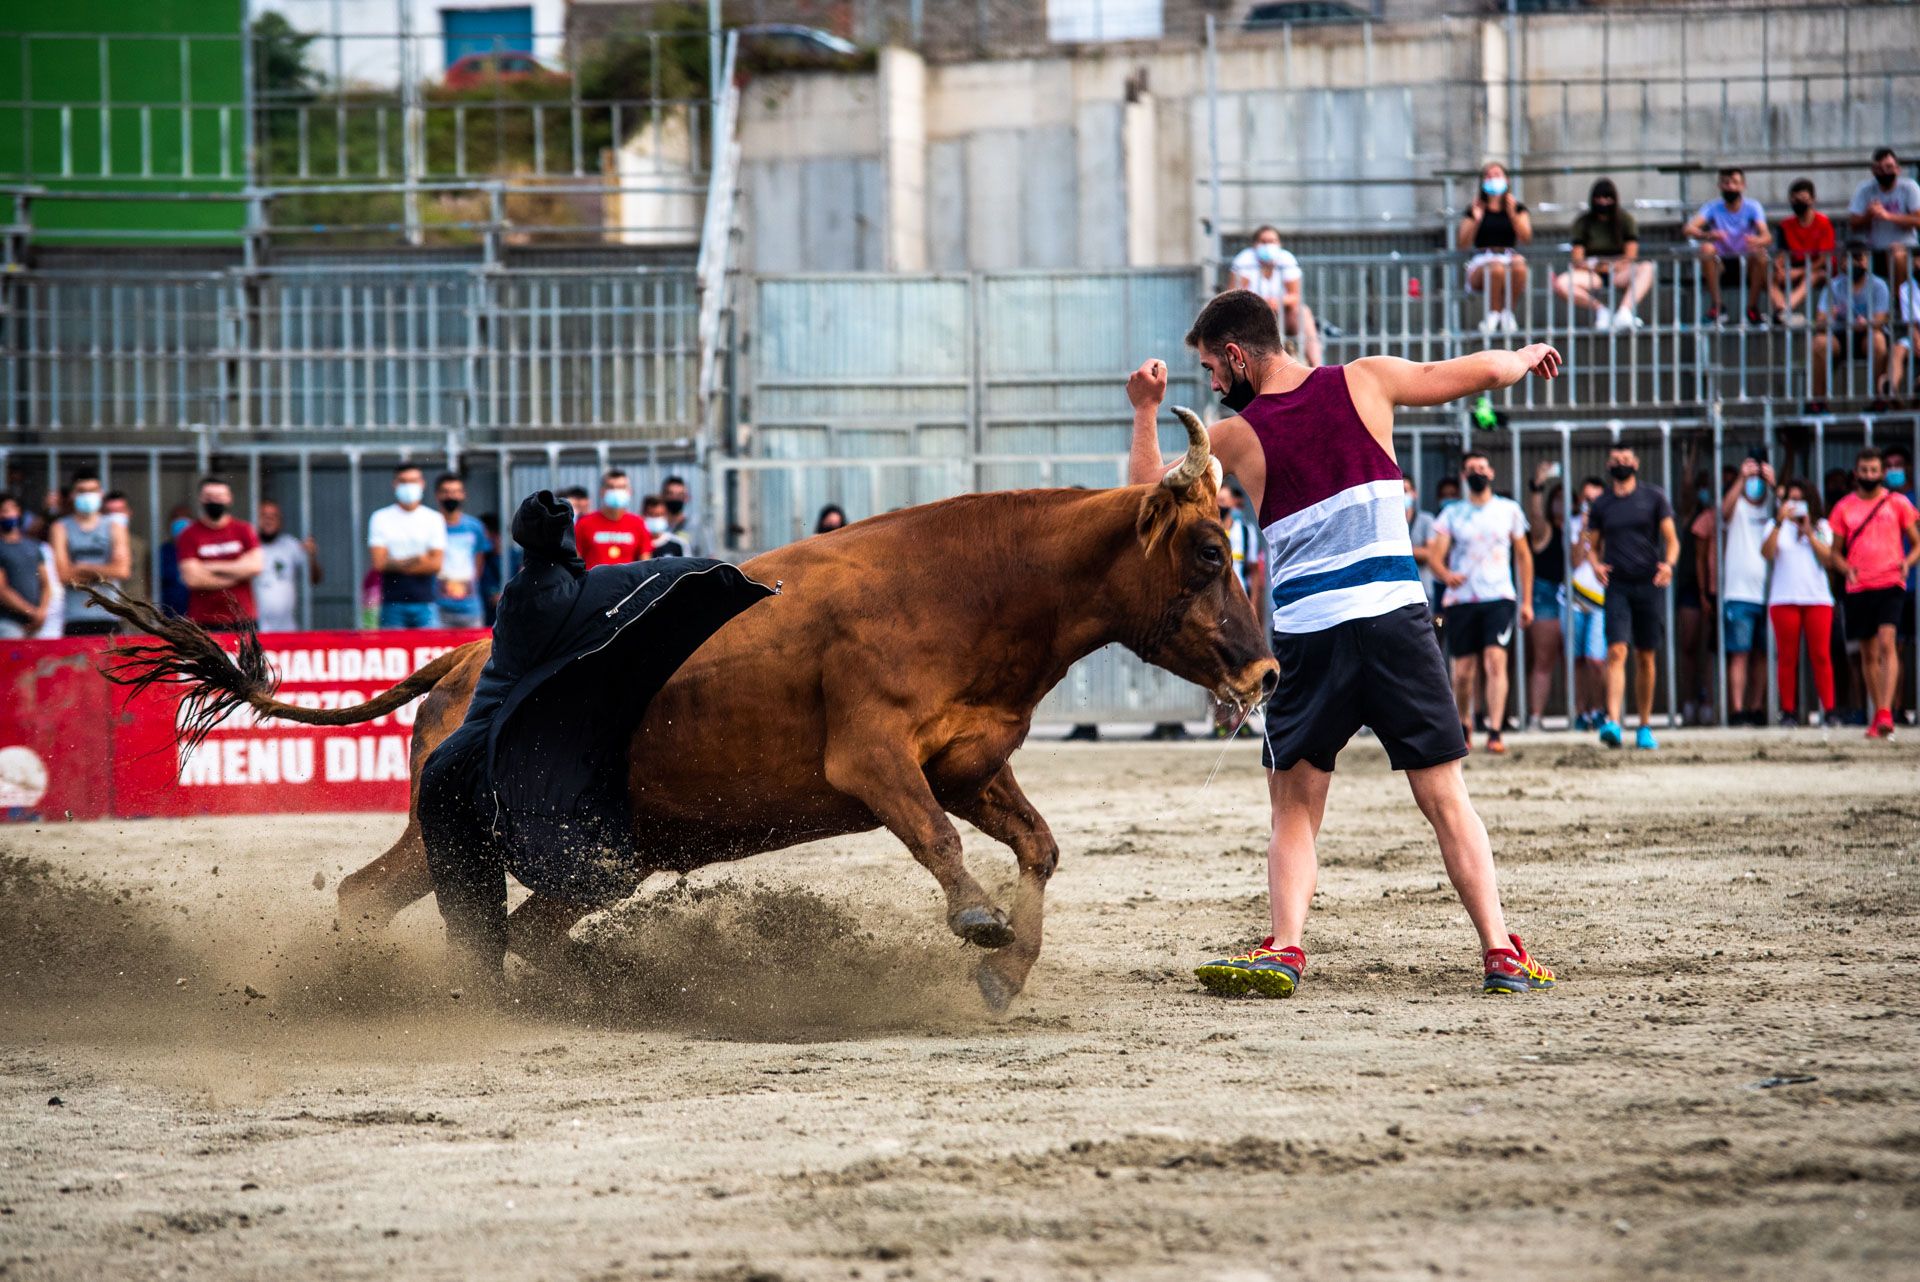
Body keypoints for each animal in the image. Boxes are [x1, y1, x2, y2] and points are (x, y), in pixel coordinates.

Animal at [108, 412, 1274, 1013]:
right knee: (426, 908)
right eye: (1207, 550)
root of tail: (462, 662)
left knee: (443, 909)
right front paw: (979, 927)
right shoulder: (874, 763)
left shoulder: (968, 763)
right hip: (486, 835)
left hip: (558, 852)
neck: (973, 586)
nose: (1264, 673)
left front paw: (1005, 968)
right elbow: (944, 846)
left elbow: (1038, 845)